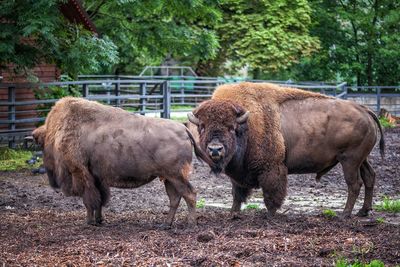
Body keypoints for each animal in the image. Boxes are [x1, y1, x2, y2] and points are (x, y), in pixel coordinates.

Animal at [33, 96, 212, 226]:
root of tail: (184, 129)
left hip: (176, 176)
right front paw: (98, 220)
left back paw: (190, 224)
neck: (59, 132)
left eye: (41, 145)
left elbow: (89, 200)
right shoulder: (97, 178)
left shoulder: (81, 173)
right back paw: (165, 224)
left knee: (189, 194)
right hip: (169, 178)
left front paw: (88, 222)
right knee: (175, 198)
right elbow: (99, 199)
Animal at [188, 82, 384, 219]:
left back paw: (345, 214)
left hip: (349, 160)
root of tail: (365, 110)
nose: (215, 149)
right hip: (361, 160)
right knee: (370, 177)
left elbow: (271, 195)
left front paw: (270, 215)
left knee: (354, 184)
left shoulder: (271, 169)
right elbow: (237, 195)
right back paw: (363, 211)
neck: (247, 125)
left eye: (231, 128)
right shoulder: (238, 176)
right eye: (202, 127)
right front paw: (233, 214)